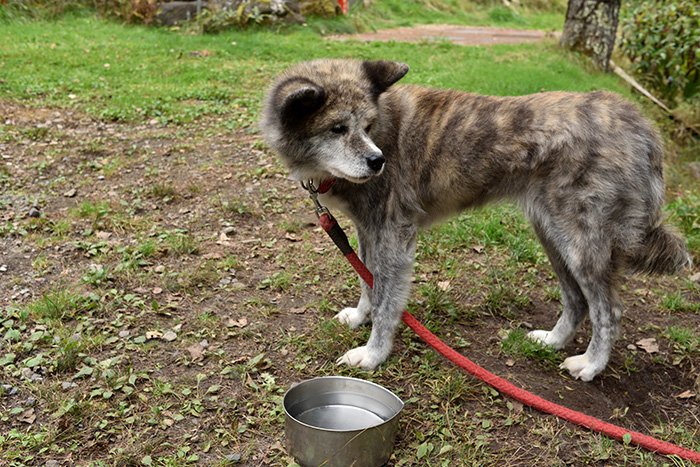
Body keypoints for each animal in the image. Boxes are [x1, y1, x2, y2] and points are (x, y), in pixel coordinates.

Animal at [260, 58, 692, 382]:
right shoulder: (368, 231)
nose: (377, 161)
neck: (385, 129)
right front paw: (359, 316)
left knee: (608, 310)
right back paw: (553, 341)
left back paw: (591, 365)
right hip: (553, 236)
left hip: (582, 244)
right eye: (337, 128)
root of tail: (640, 123)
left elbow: (386, 299)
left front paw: (373, 354)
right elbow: (367, 281)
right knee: (576, 299)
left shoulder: (393, 236)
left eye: (366, 126)